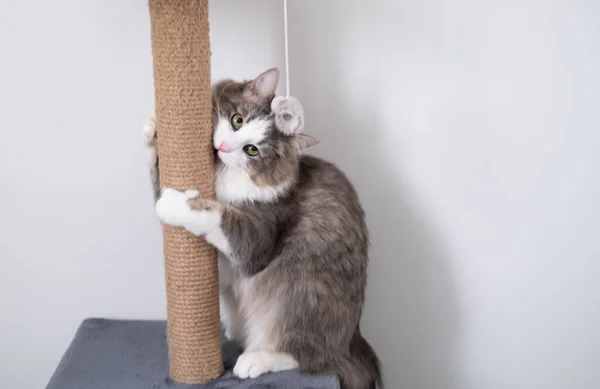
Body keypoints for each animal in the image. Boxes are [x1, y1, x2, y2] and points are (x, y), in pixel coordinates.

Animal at [144, 68, 382, 386]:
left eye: (252, 150)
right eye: (237, 120)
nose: (223, 147)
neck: (223, 172)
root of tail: (353, 340)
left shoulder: (257, 237)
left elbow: (216, 214)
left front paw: (175, 204)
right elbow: (157, 173)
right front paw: (152, 129)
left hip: (298, 289)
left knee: (307, 356)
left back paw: (255, 359)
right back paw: (236, 330)